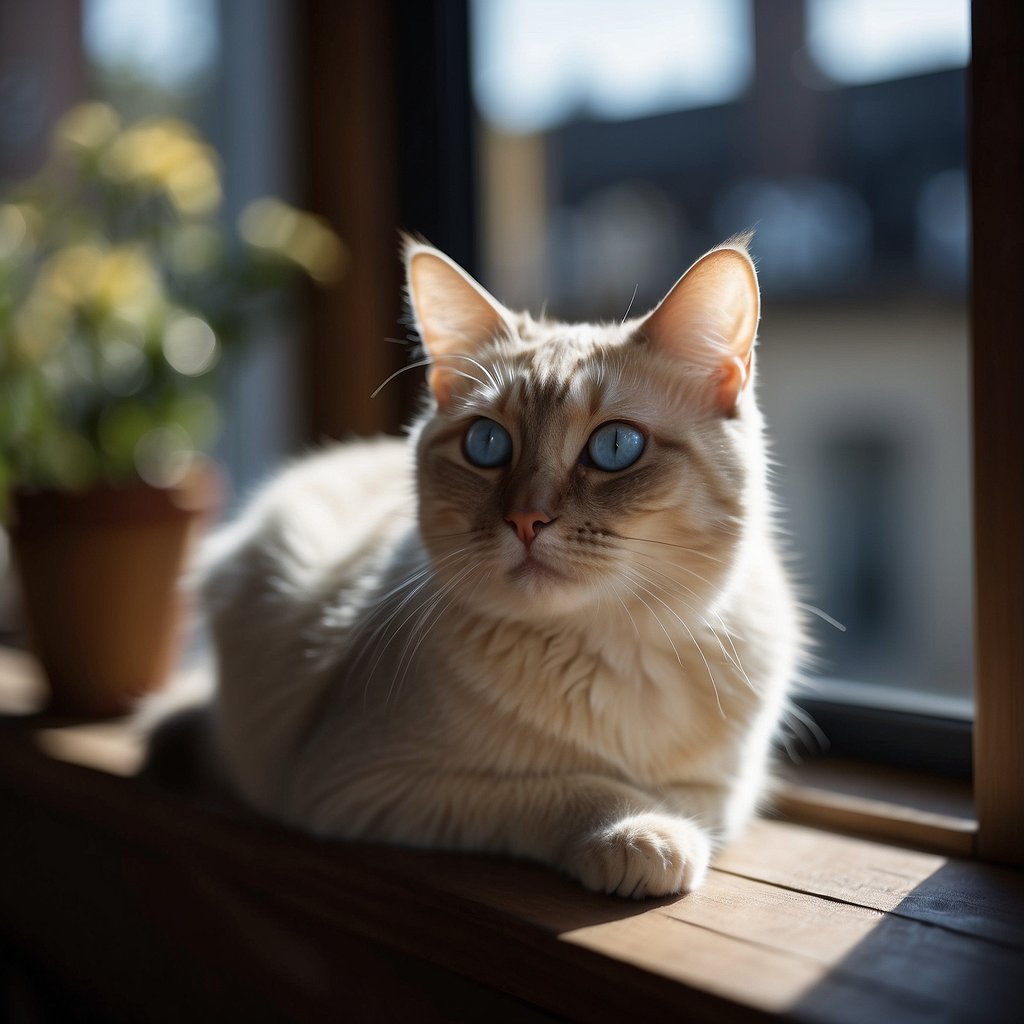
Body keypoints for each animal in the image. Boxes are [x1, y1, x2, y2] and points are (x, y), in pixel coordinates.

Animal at [199, 235, 802, 901]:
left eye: (616, 448)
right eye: (487, 445)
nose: (526, 519)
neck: (608, 647)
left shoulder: (724, 791)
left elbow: (678, 799)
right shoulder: (357, 782)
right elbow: (568, 786)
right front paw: (642, 834)